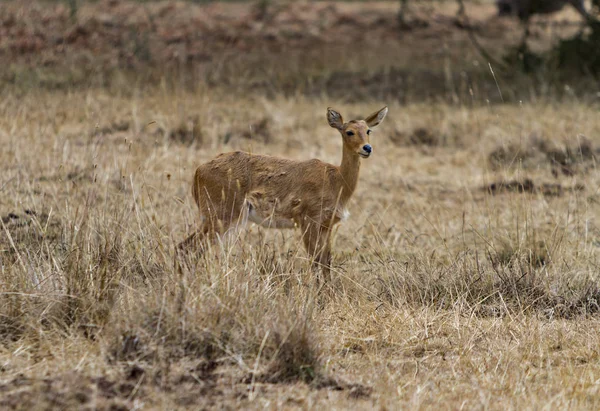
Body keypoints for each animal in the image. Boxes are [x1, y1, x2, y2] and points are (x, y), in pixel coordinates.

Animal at [179, 108, 390, 278]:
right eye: (349, 131)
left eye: (368, 130)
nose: (367, 148)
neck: (337, 181)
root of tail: (198, 171)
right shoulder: (308, 220)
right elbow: (316, 262)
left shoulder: (326, 226)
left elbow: (326, 263)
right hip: (221, 216)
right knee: (186, 247)